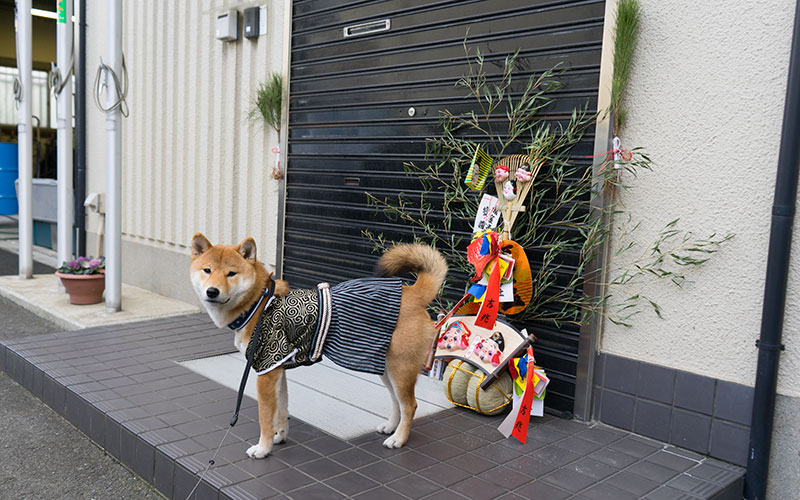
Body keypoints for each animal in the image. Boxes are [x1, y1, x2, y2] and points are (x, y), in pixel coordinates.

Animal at [190, 232, 446, 458]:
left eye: (231, 273)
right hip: (386, 369)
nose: (212, 291)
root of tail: (413, 293)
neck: (259, 304)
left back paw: (399, 439)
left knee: (410, 405)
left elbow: (265, 417)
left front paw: (263, 448)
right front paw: (280, 436)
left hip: (400, 369)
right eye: (207, 270)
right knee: (396, 402)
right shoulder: (277, 368)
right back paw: (391, 428)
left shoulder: (266, 372)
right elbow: (281, 409)